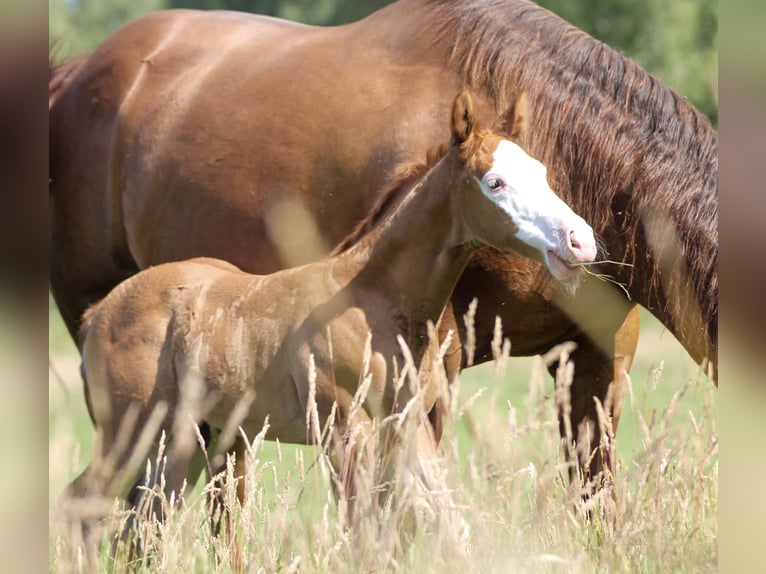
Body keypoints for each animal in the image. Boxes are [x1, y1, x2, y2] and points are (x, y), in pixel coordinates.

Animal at [49, 0, 717, 488]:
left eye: (548, 174)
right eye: (496, 182)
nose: (580, 241)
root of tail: (72, 77)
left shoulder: (600, 356)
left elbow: (595, 497)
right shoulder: (435, 368)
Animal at [65, 89, 597, 535]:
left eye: (543, 173)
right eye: (495, 182)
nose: (580, 241)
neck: (375, 302)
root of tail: (100, 311)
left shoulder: (408, 429)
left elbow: (440, 521)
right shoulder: (344, 432)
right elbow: (361, 531)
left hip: (184, 441)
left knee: (142, 521)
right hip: (130, 432)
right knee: (84, 503)